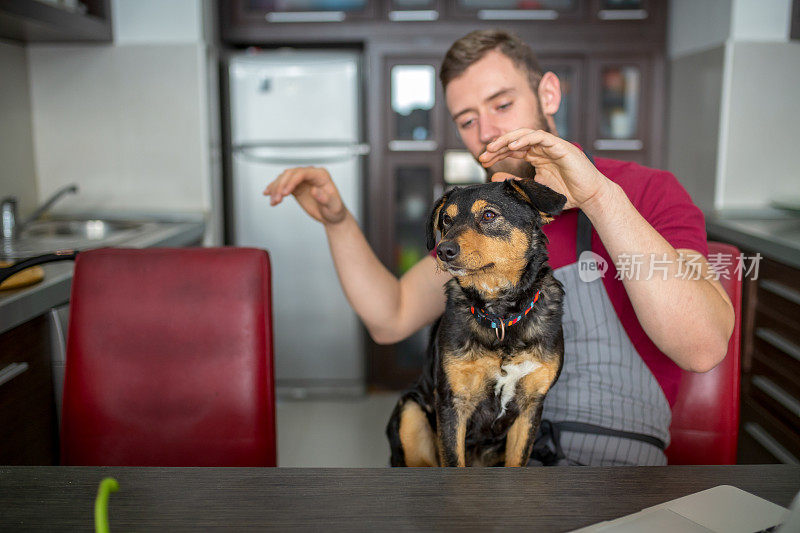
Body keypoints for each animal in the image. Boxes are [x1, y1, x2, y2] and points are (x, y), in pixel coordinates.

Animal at [384, 176, 564, 466]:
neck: (500, 315)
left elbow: (518, 460)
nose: (443, 250)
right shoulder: (452, 402)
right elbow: (453, 460)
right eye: (446, 219)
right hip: (410, 410)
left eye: (489, 215)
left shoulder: (531, 407)